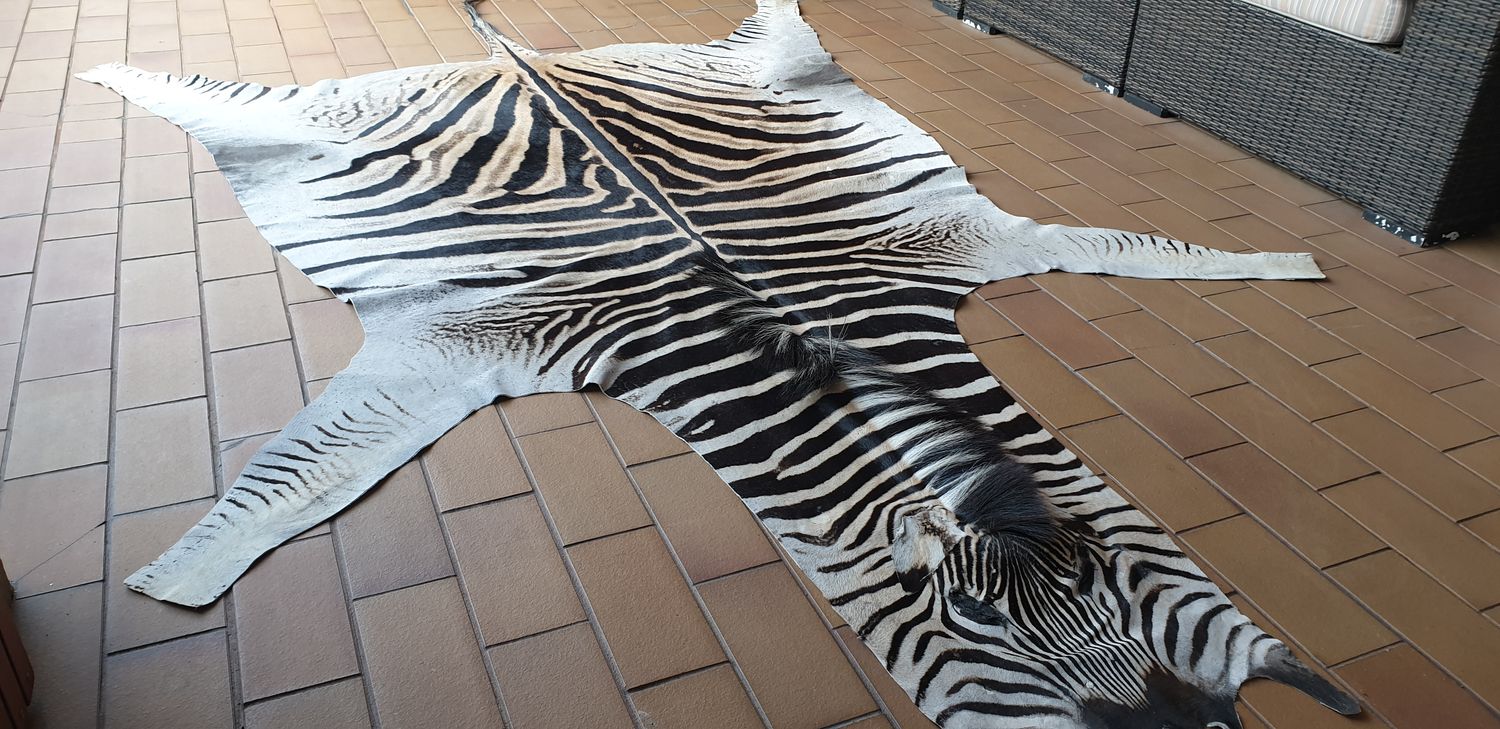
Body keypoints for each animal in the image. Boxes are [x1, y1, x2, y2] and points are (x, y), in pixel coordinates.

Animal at [77, 0, 1358, 726]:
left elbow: (1156, 248)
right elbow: (293, 480)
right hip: (302, 124)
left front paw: (1294, 264)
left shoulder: (950, 246)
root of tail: (525, 59)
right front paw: (175, 585)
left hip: (778, 74)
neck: (788, 326)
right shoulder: (469, 341)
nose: (1178, 724)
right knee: (209, 94)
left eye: (1106, 584)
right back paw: (109, 70)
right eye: (969, 624)